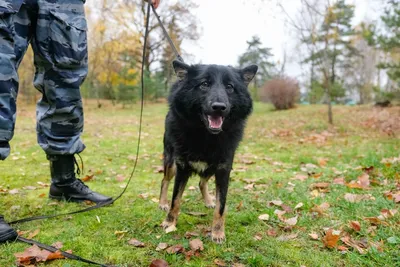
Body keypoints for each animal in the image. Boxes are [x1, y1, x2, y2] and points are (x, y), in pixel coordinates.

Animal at [158, 59, 258, 244]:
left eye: (230, 87)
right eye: (204, 84)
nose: (219, 107)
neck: (206, 136)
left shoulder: (224, 169)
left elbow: (221, 206)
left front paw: (217, 232)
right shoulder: (182, 168)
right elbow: (176, 199)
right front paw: (169, 222)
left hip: (211, 168)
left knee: (202, 182)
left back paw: (209, 200)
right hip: (171, 163)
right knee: (165, 180)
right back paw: (162, 203)